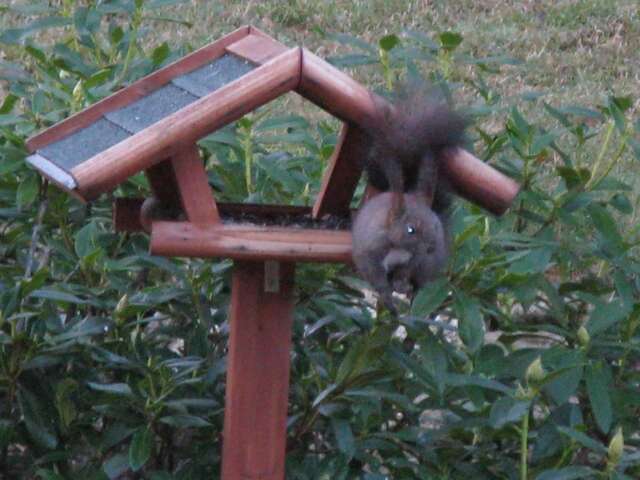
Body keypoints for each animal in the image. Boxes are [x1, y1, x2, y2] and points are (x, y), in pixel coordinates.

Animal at [352, 82, 468, 314]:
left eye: (436, 225)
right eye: (410, 230)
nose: (432, 246)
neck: (398, 247)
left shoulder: (414, 260)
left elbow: (406, 271)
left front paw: (400, 284)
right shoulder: (369, 253)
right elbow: (375, 276)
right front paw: (386, 295)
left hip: (430, 266)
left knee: (421, 281)